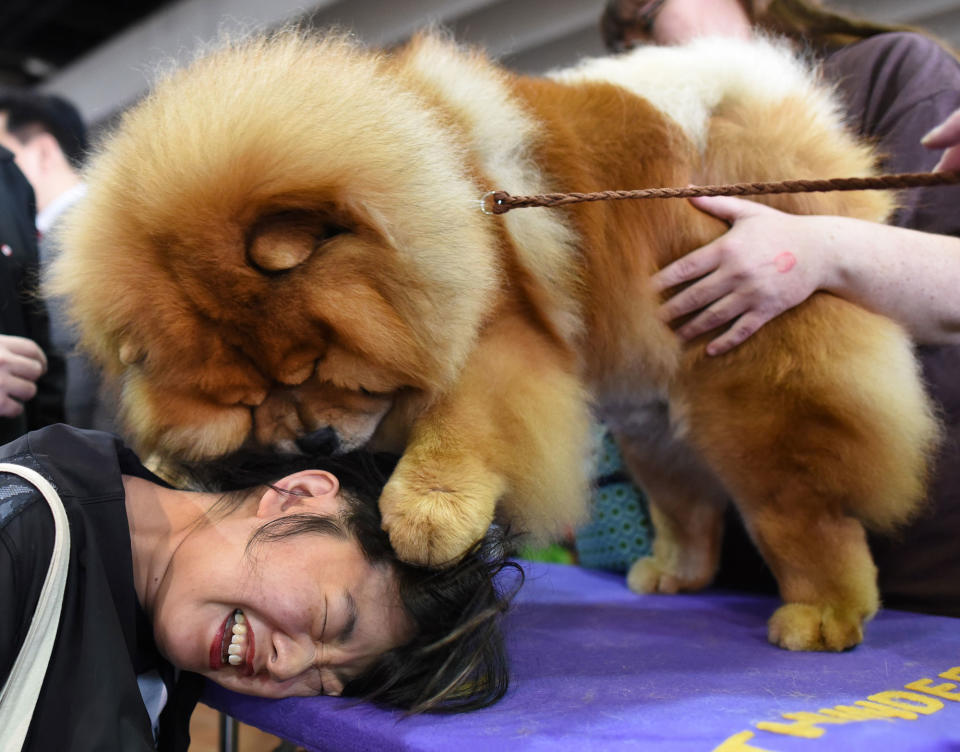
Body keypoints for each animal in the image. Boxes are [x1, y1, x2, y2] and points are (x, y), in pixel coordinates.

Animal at [50, 32, 936, 648]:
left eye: (317, 365)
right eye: (252, 398)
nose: (315, 440)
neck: (443, 200)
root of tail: (765, 121)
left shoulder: (504, 336)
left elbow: (461, 422)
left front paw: (428, 516)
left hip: (746, 386)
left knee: (803, 510)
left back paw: (822, 614)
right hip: (650, 417)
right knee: (688, 502)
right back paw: (673, 576)